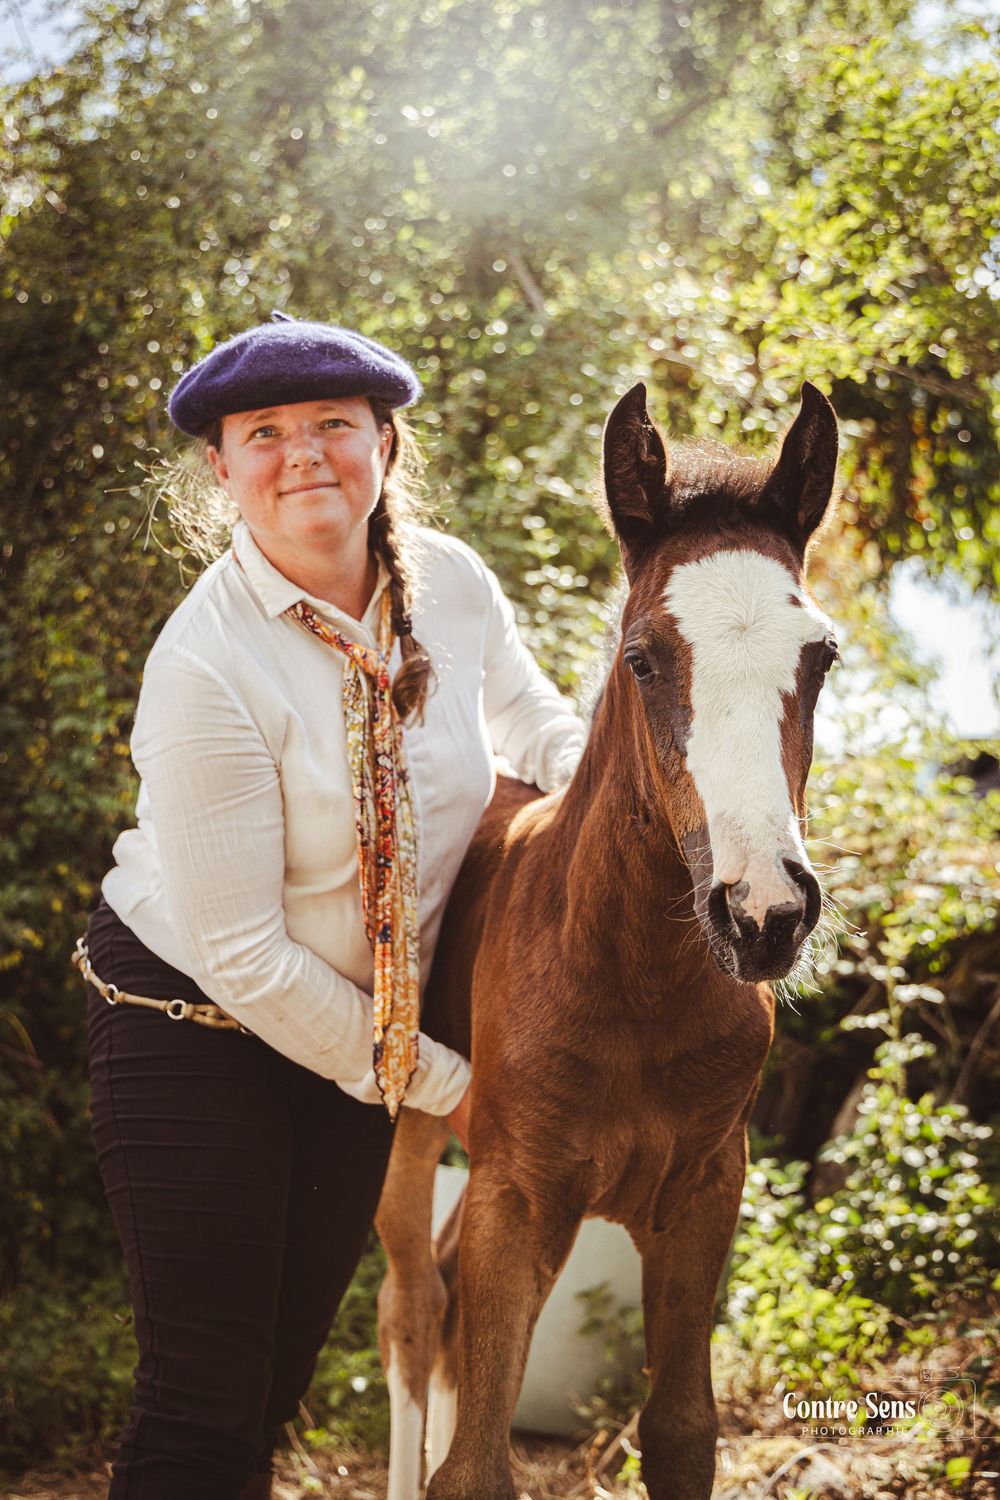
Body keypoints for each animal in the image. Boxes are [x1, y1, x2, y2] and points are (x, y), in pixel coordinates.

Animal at [375, 379, 841, 1500]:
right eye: (642, 659)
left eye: (822, 656)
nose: (764, 912)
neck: (636, 982)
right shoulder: (515, 1197)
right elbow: (474, 1465)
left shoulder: (705, 1193)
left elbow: (679, 1430)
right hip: (416, 1133)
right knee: (410, 1308)